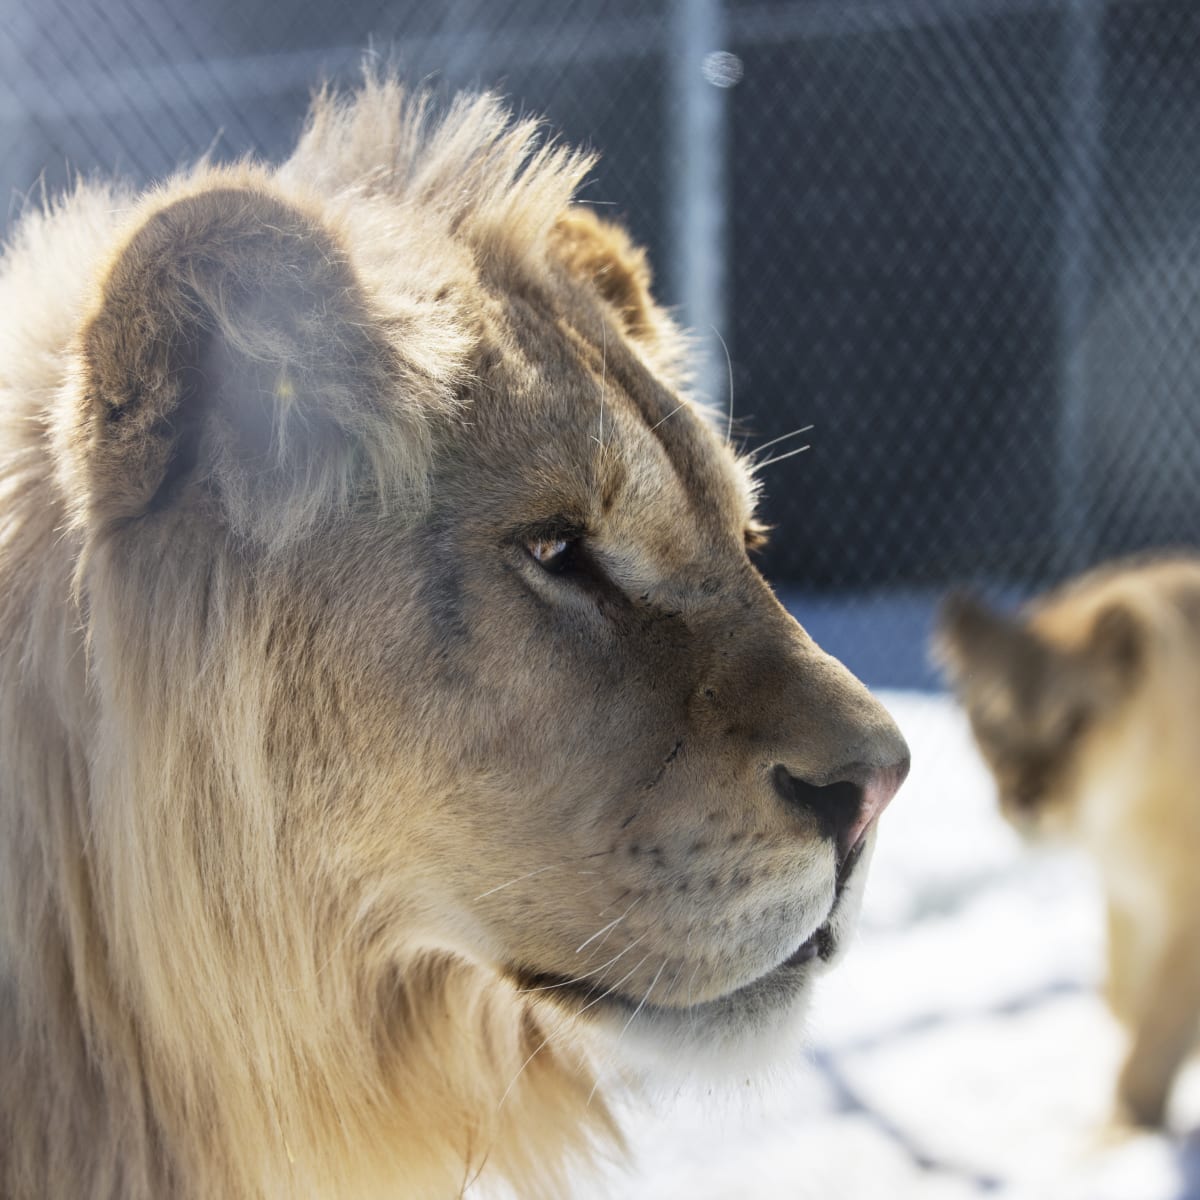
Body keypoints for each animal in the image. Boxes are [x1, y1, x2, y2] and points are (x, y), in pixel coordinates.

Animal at [937, 556, 1200, 1129]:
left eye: (1074, 723)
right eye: (994, 726)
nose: (1025, 801)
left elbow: (1153, 1034)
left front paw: (1131, 1123)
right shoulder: (1129, 892)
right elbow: (1124, 1000)